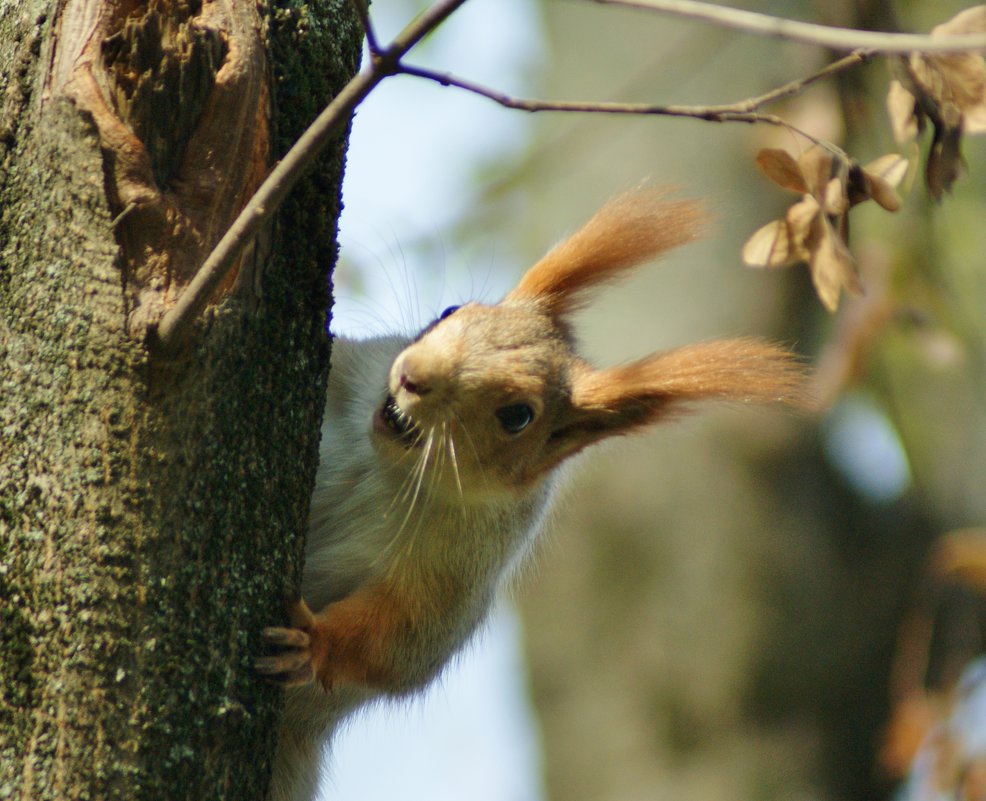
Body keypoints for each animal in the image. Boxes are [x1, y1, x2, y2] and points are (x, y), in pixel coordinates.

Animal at [254, 189, 808, 800]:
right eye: (451, 311)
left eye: (517, 416)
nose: (411, 377)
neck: (384, 464)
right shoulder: (355, 375)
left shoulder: (460, 568)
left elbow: (406, 638)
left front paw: (312, 643)